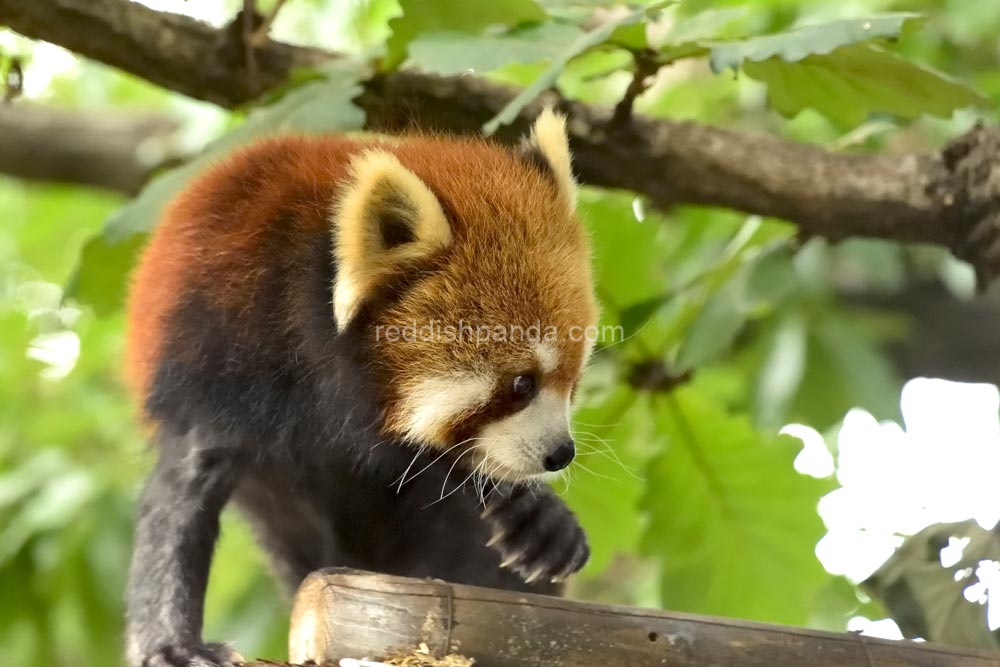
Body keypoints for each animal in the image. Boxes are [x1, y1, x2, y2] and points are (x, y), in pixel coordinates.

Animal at [121, 112, 596, 664]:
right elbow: (180, 498)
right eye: (522, 383)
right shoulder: (216, 353)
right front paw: (173, 643)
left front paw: (536, 512)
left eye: (573, 379)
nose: (560, 454)